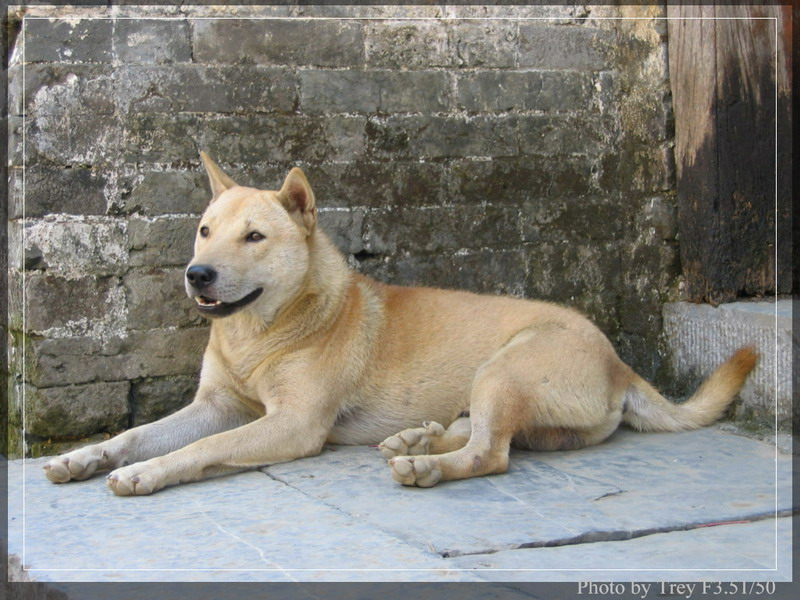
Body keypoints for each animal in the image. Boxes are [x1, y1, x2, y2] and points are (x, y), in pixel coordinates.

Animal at [44, 153, 758, 495]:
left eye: (254, 237)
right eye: (203, 230)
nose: (197, 275)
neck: (263, 331)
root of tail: (621, 364)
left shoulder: (291, 425)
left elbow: (196, 451)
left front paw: (148, 474)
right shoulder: (217, 404)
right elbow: (138, 434)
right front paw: (87, 455)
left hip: (504, 367)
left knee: (492, 453)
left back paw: (426, 465)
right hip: (512, 398)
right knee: (492, 435)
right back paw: (418, 439)